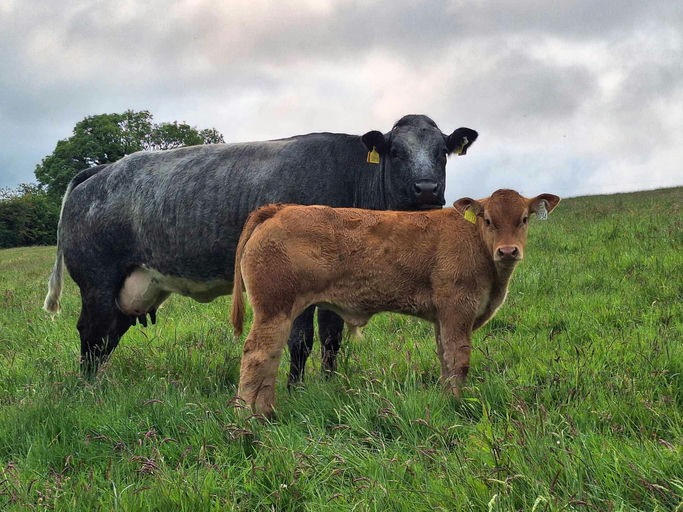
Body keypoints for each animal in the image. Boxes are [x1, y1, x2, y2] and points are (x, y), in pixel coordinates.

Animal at [42, 115, 478, 381]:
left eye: (442, 152)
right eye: (397, 152)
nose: (427, 189)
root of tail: (102, 170)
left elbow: (331, 338)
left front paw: (330, 384)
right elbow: (300, 341)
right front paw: (297, 391)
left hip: (131, 290)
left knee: (106, 337)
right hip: (98, 283)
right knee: (91, 334)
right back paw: (89, 390)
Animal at [231, 189, 560, 416]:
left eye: (524, 220)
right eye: (489, 220)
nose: (508, 251)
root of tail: (279, 209)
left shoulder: (442, 317)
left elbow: (445, 358)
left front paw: (445, 398)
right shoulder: (458, 309)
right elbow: (459, 360)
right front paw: (457, 404)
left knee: (272, 356)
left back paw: (266, 411)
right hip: (274, 308)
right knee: (257, 355)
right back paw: (248, 417)